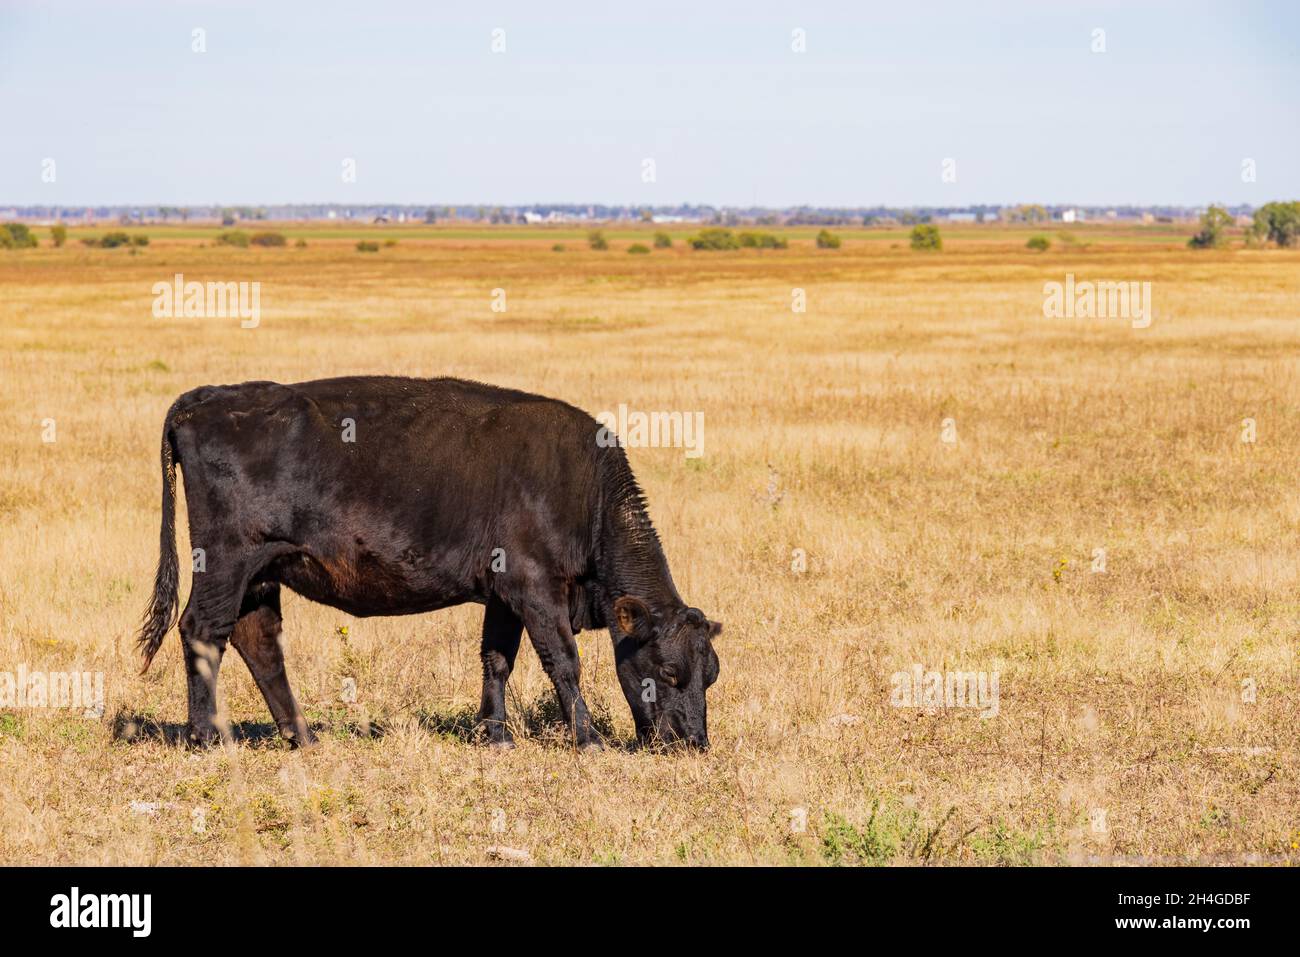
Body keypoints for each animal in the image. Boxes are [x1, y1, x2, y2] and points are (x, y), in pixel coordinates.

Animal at [136, 376, 720, 751]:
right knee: (204, 630)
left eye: (710, 675)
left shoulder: (503, 596)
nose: (693, 742)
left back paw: (302, 736)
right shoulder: (537, 589)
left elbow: (496, 660)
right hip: (226, 563)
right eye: (669, 671)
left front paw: (495, 736)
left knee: (258, 640)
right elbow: (563, 661)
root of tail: (203, 400)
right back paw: (208, 737)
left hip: (263, 572)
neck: (585, 490)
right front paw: (589, 738)